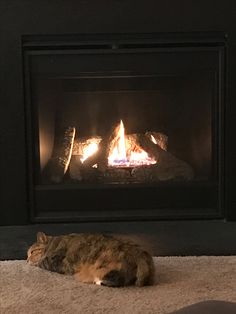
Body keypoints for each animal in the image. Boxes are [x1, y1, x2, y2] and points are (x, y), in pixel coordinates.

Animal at [26, 231, 155, 288]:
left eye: (31, 252)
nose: (26, 260)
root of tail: (141, 255)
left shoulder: (54, 261)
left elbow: (41, 262)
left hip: (106, 262)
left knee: (118, 279)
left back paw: (98, 281)